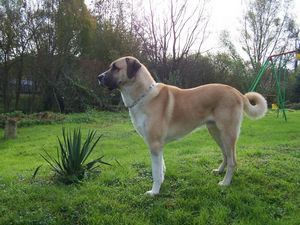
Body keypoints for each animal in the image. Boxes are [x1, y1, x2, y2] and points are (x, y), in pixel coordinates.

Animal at [98, 55, 268, 195]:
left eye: (115, 67)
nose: (99, 77)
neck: (143, 95)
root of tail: (237, 92)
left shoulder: (154, 144)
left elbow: (155, 172)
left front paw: (154, 192)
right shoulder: (158, 146)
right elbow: (161, 167)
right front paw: (161, 183)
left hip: (227, 134)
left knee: (233, 161)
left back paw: (225, 182)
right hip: (215, 132)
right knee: (226, 155)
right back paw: (219, 171)